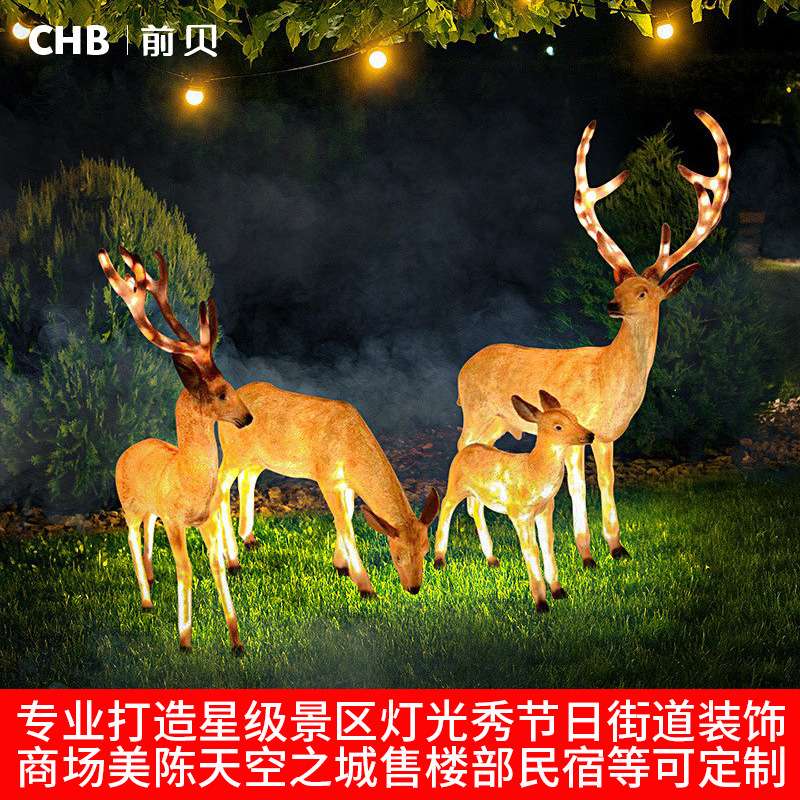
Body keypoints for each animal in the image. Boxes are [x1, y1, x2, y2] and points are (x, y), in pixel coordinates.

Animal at [98, 246, 254, 653]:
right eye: (221, 393)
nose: (247, 417)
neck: (190, 478)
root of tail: (131, 448)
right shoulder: (175, 519)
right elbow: (186, 570)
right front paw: (184, 639)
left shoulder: (208, 518)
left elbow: (217, 567)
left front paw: (236, 640)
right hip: (129, 504)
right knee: (132, 537)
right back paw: (146, 598)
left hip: (151, 509)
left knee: (146, 535)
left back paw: (152, 579)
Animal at [213, 383, 440, 597]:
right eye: (397, 556)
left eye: (426, 550)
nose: (414, 588)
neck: (350, 452)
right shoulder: (326, 478)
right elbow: (344, 524)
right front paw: (365, 588)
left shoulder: (346, 484)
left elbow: (347, 515)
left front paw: (340, 566)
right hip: (232, 452)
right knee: (220, 491)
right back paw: (232, 562)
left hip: (258, 458)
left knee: (246, 479)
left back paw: (249, 539)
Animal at [435, 109, 731, 571]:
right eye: (618, 286)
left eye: (642, 292)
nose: (611, 304)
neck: (612, 375)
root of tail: (464, 367)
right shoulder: (576, 427)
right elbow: (577, 487)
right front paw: (587, 552)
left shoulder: (607, 434)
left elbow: (607, 483)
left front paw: (616, 547)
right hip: (477, 413)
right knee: (462, 460)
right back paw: (479, 553)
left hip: (499, 423)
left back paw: (489, 552)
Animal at [435, 391, 594, 611]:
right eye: (558, 427)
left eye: (575, 418)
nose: (590, 435)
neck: (534, 470)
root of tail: (465, 449)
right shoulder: (519, 512)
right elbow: (531, 549)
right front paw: (541, 603)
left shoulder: (545, 508)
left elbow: (547, 543)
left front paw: (558, 591)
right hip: (456, 485)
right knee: (446, 506)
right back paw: (438, 560)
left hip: (480, 493)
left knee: (476, 510)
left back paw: (492, 559)